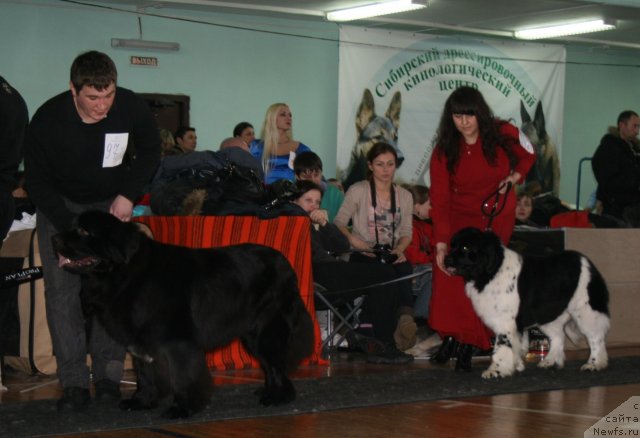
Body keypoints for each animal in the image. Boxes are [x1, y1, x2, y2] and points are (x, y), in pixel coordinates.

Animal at [52, 211, 316, 418]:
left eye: (83, 231)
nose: (54, 238)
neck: (127, 274)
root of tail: (286, 264)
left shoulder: (177, 342)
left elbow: (183, 375)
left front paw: (182, 408)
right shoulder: (140, 342)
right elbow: (144, 373)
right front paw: (141, 401)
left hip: (267, 330)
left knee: (276, 363)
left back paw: (279, 397)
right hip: (251, 335)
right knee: (270, 364)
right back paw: (268, 391)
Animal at [444, 228, 608, 378]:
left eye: (465, 248)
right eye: (452, 245)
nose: (446, 259)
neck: (491, 272)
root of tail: (587, 261)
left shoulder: (505, 322)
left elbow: (501, 347)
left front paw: (496, 370)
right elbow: (516, 345)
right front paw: (516, 365)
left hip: (586, 311)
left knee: (596, 337)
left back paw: (594, 364)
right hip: (546, 315)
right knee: (558, 336)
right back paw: (550, 361)